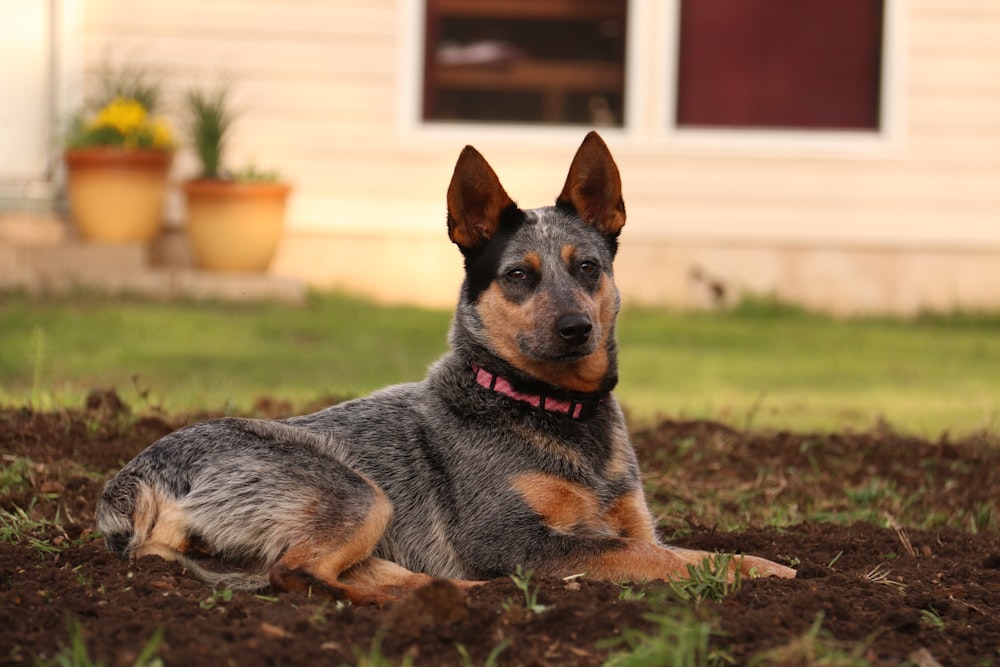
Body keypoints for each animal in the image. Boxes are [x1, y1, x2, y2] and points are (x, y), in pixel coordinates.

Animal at [95, 132, 796, 604]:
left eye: (588, 267)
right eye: (518, 276)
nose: (578, 328)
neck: (548, 408)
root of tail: (137, 475)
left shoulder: (630, 518)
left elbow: (658, 546)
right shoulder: (507, 539)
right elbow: (653, 557)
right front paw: (756, 570)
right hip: (359, 492)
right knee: (296, 574)